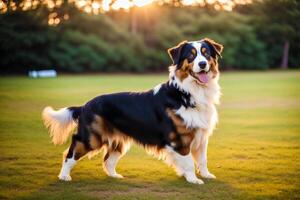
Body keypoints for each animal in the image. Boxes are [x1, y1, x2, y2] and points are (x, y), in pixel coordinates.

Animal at [42, 37, 223, 184]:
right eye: (191, 56)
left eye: (206, 54)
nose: (202, 64)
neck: (187, 92)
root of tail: (84, 106)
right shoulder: (180, 138)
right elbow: (188, 161)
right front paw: (193, 179)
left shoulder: (201, 136)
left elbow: (202, 160)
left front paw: (206, 175)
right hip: (91, 138)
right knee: (70, 154)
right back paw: (64, 176)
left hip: (117, 140)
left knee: (108, 160)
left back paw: (114, 176)